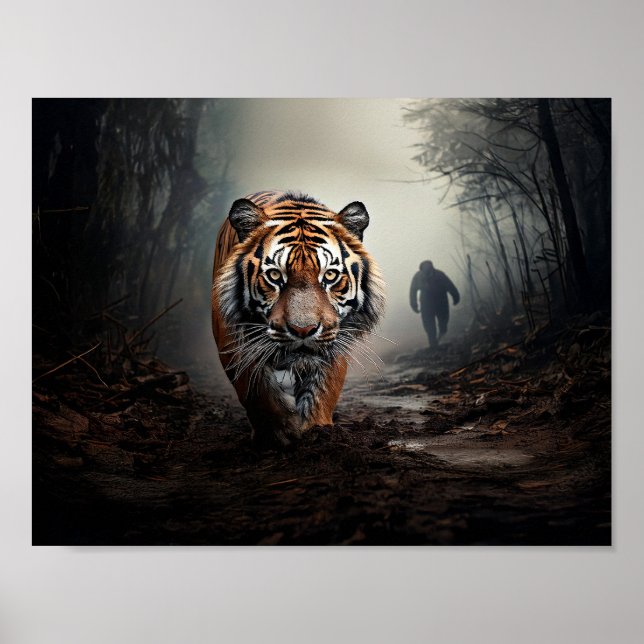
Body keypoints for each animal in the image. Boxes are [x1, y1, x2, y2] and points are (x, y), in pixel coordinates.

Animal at [211, 190, 385, 446]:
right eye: (275, 275)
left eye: (330, 275)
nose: (303, 330)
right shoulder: (232, 342)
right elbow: (257, 392)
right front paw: (279, 433)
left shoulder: (336, 338)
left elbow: (323, 390)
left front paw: (316, 431)